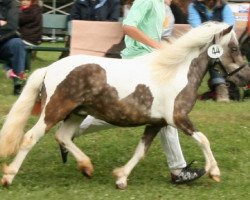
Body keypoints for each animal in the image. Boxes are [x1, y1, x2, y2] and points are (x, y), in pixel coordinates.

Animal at [0, 21, 250, 188]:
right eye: (234, 49)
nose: (244, 77)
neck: (174, 72)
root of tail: (49, 69)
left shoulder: (157, 123)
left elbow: (141, 151)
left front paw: (121, 178)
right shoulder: (178, 118)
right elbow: (204, 140)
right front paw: (214, 172)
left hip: (76, 114)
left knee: (63, 136)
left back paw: (86, 167)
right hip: (54, 110)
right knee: (30, 138)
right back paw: (9, 176)